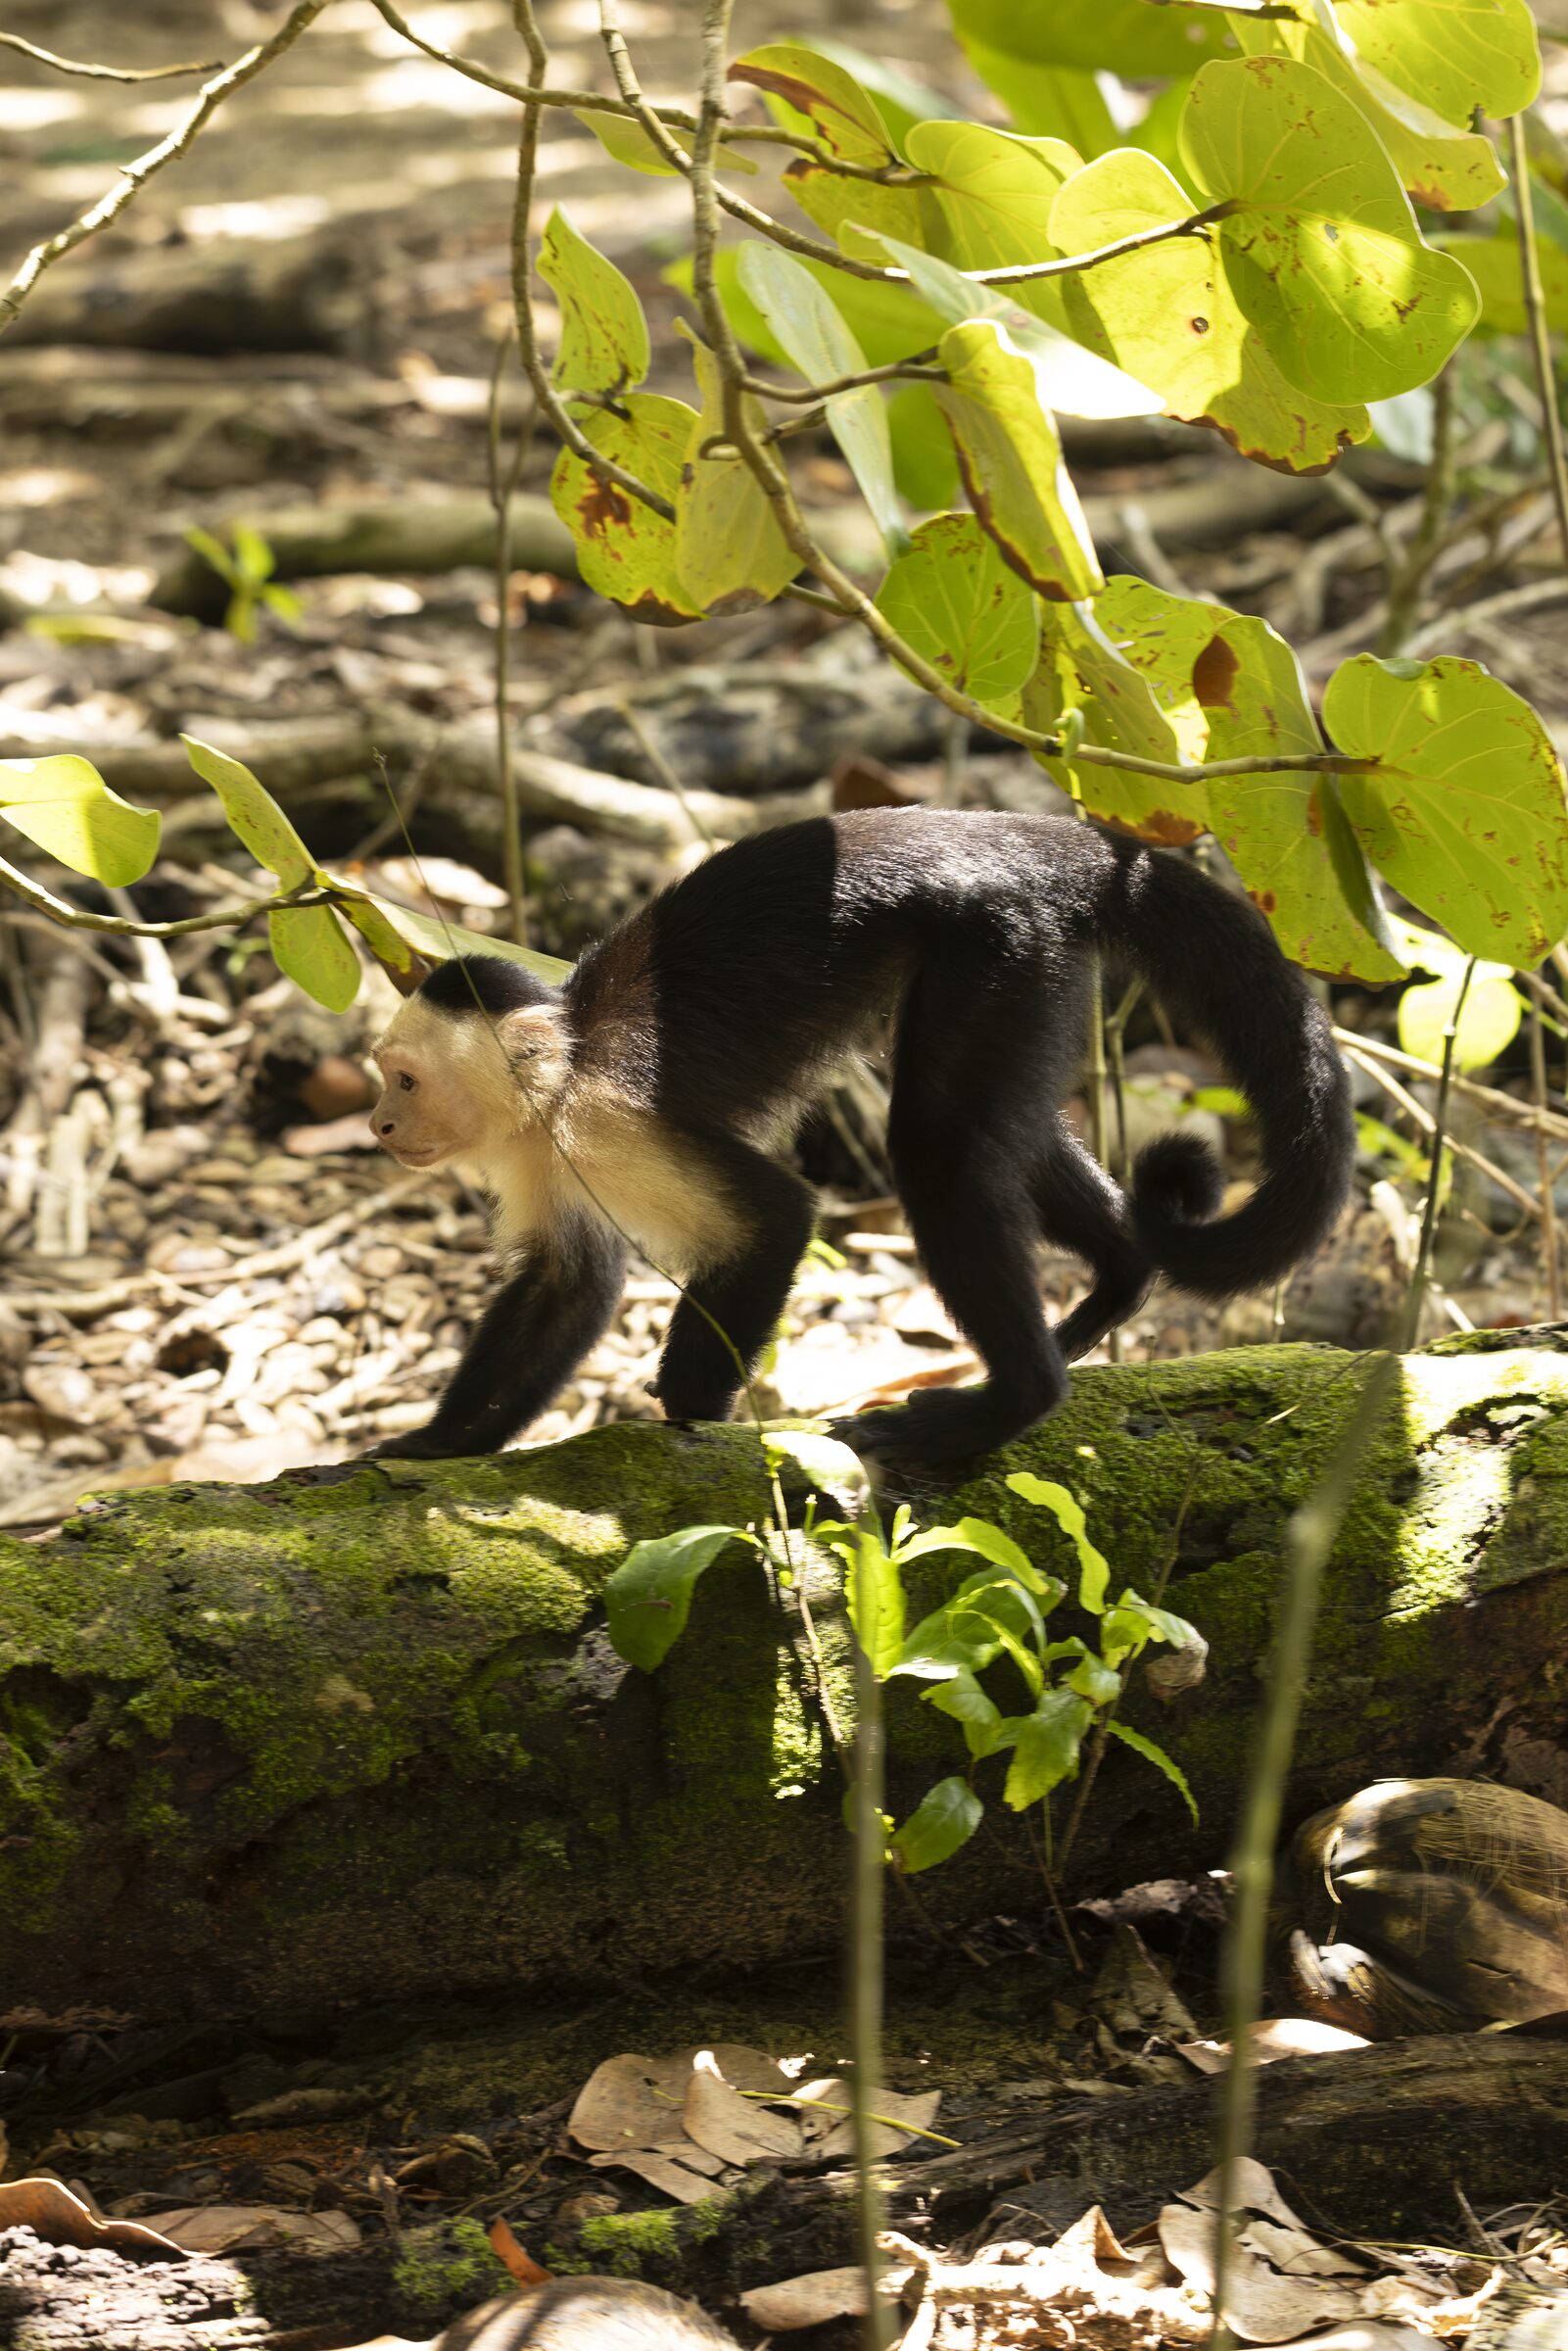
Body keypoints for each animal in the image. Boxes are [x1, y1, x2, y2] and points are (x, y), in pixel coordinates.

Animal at [363, 808, 1353, 1468]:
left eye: (405, 1082)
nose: (378, 1123)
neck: (558, 1080)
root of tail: (1014, 837)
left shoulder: (611, 1123)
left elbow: (777, 1221)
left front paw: (691, 1415)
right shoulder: (541, 1152)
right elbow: (567, 1286)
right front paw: (441, 1442)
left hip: (995, 947)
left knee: (936, 1150)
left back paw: (1009, 1404)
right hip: (1033, 967)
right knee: (1004, 1136)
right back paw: (1113, 1286)